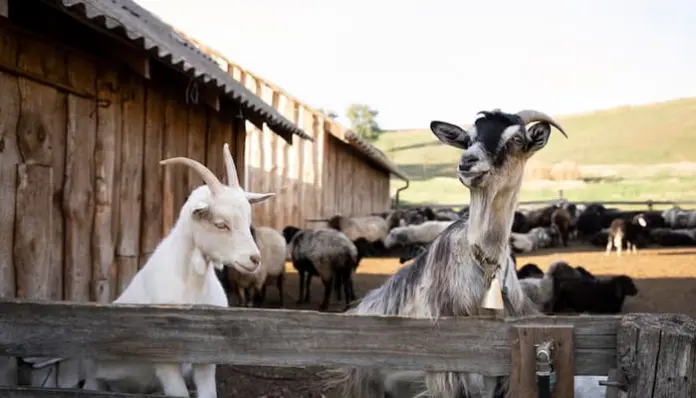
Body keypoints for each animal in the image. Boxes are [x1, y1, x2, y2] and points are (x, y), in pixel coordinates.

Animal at [77, 144, 274, 398]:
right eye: (221, 224)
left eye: (249, 220)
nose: (254, 259)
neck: (192, 286)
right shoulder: (165, 359)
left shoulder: (205, 357)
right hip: (94, 377)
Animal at [326, 109, 572, 398]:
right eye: (468, 140)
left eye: (517, 139)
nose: (467, 162)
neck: (484, 264)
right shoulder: (450, 372)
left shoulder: (494, 374)